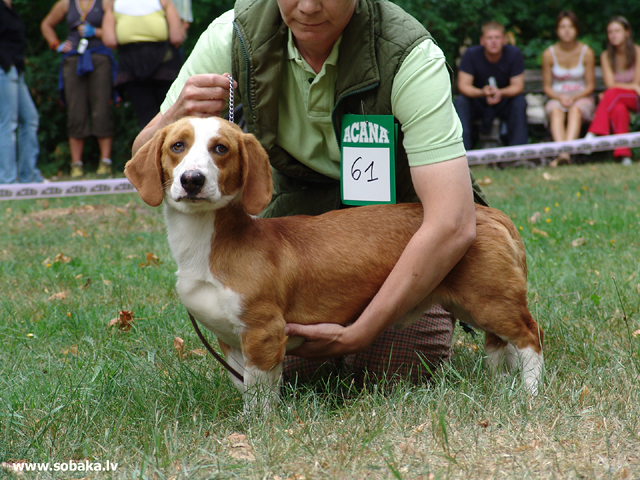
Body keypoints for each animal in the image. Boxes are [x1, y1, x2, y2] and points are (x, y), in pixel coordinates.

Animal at [126, 116, 544, 408]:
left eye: (221, 148)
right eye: (177, 146)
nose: (192, 180)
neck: (209, 244)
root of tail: (489, 215)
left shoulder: (263, 333)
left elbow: (260, 398)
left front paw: (258, 431)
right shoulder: (232, 343)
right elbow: (248, 387)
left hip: (490, 301)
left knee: (529, 336)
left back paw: (531, 392)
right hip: (474, 304)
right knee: (502, 344)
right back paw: (500, 386)